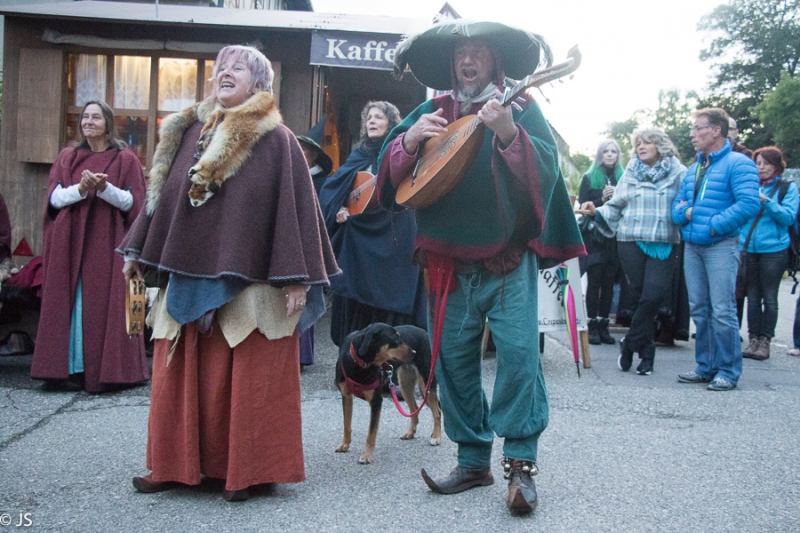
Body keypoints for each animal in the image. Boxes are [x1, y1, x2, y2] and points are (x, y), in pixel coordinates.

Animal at [332, 322, 440, 464]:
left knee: (437, 411)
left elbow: (371, 433)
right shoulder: (346, 396)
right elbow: (346, 424)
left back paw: (437, 436)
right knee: (414, 409)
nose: (414, 352)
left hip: (426, 381)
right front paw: (344, 444)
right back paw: (410, 433)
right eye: (395, 339)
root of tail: (425, 332)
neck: (361, 365)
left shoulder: (376, 401)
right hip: (404, 384)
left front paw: (367, 455)